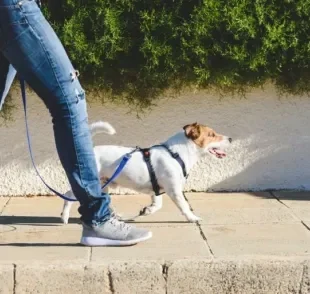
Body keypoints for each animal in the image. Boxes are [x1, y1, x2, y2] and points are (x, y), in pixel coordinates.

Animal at [60, 121, 231, 223]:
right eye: (212, 135)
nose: (230, 138)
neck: (176, 154)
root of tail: (91, 151)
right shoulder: (174, 190)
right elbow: (184, 205)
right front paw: (192, 217)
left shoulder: (157, 189)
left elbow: (157, 204)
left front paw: (147, 211)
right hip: (89, 183)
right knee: (68, 196)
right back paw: (65, 217)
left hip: (104, 184)